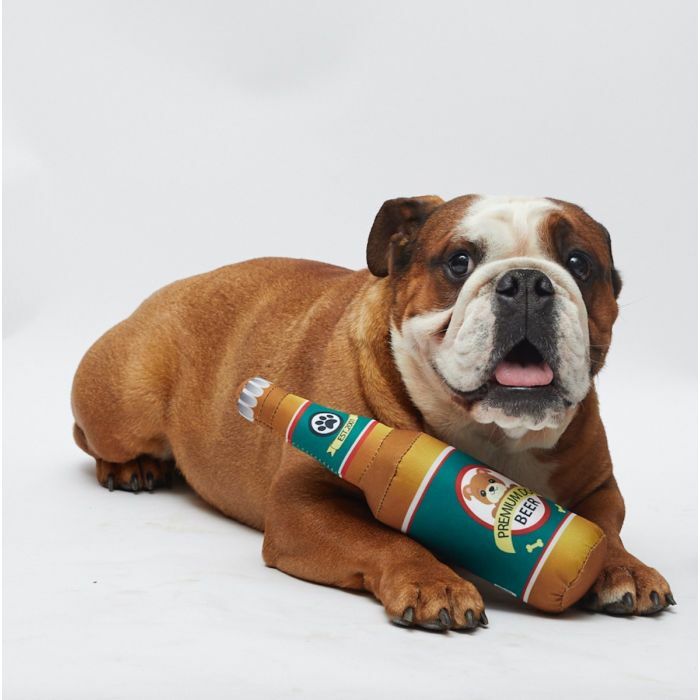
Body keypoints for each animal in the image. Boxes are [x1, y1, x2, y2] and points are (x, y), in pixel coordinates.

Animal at [71, 194, 674, 631]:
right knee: (92, 439)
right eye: (459, 262)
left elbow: (605, 529)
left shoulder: (600, 488)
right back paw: (132, 467)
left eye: (579, 263)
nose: (527, 280)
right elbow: (385, 538)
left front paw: (625, 567)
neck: (493, 437)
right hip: (126, 401)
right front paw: (432, 580)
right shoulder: (302, 506)